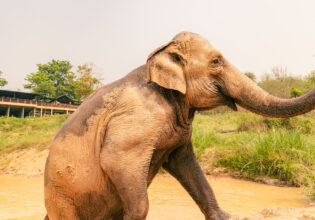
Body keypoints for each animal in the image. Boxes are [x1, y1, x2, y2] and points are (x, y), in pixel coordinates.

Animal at [44, 31, 315, 220]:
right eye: (216, 61)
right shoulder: (138, 118)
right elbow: (115, 159)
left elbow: (185, 162)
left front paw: (225, 216)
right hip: (62, 198)